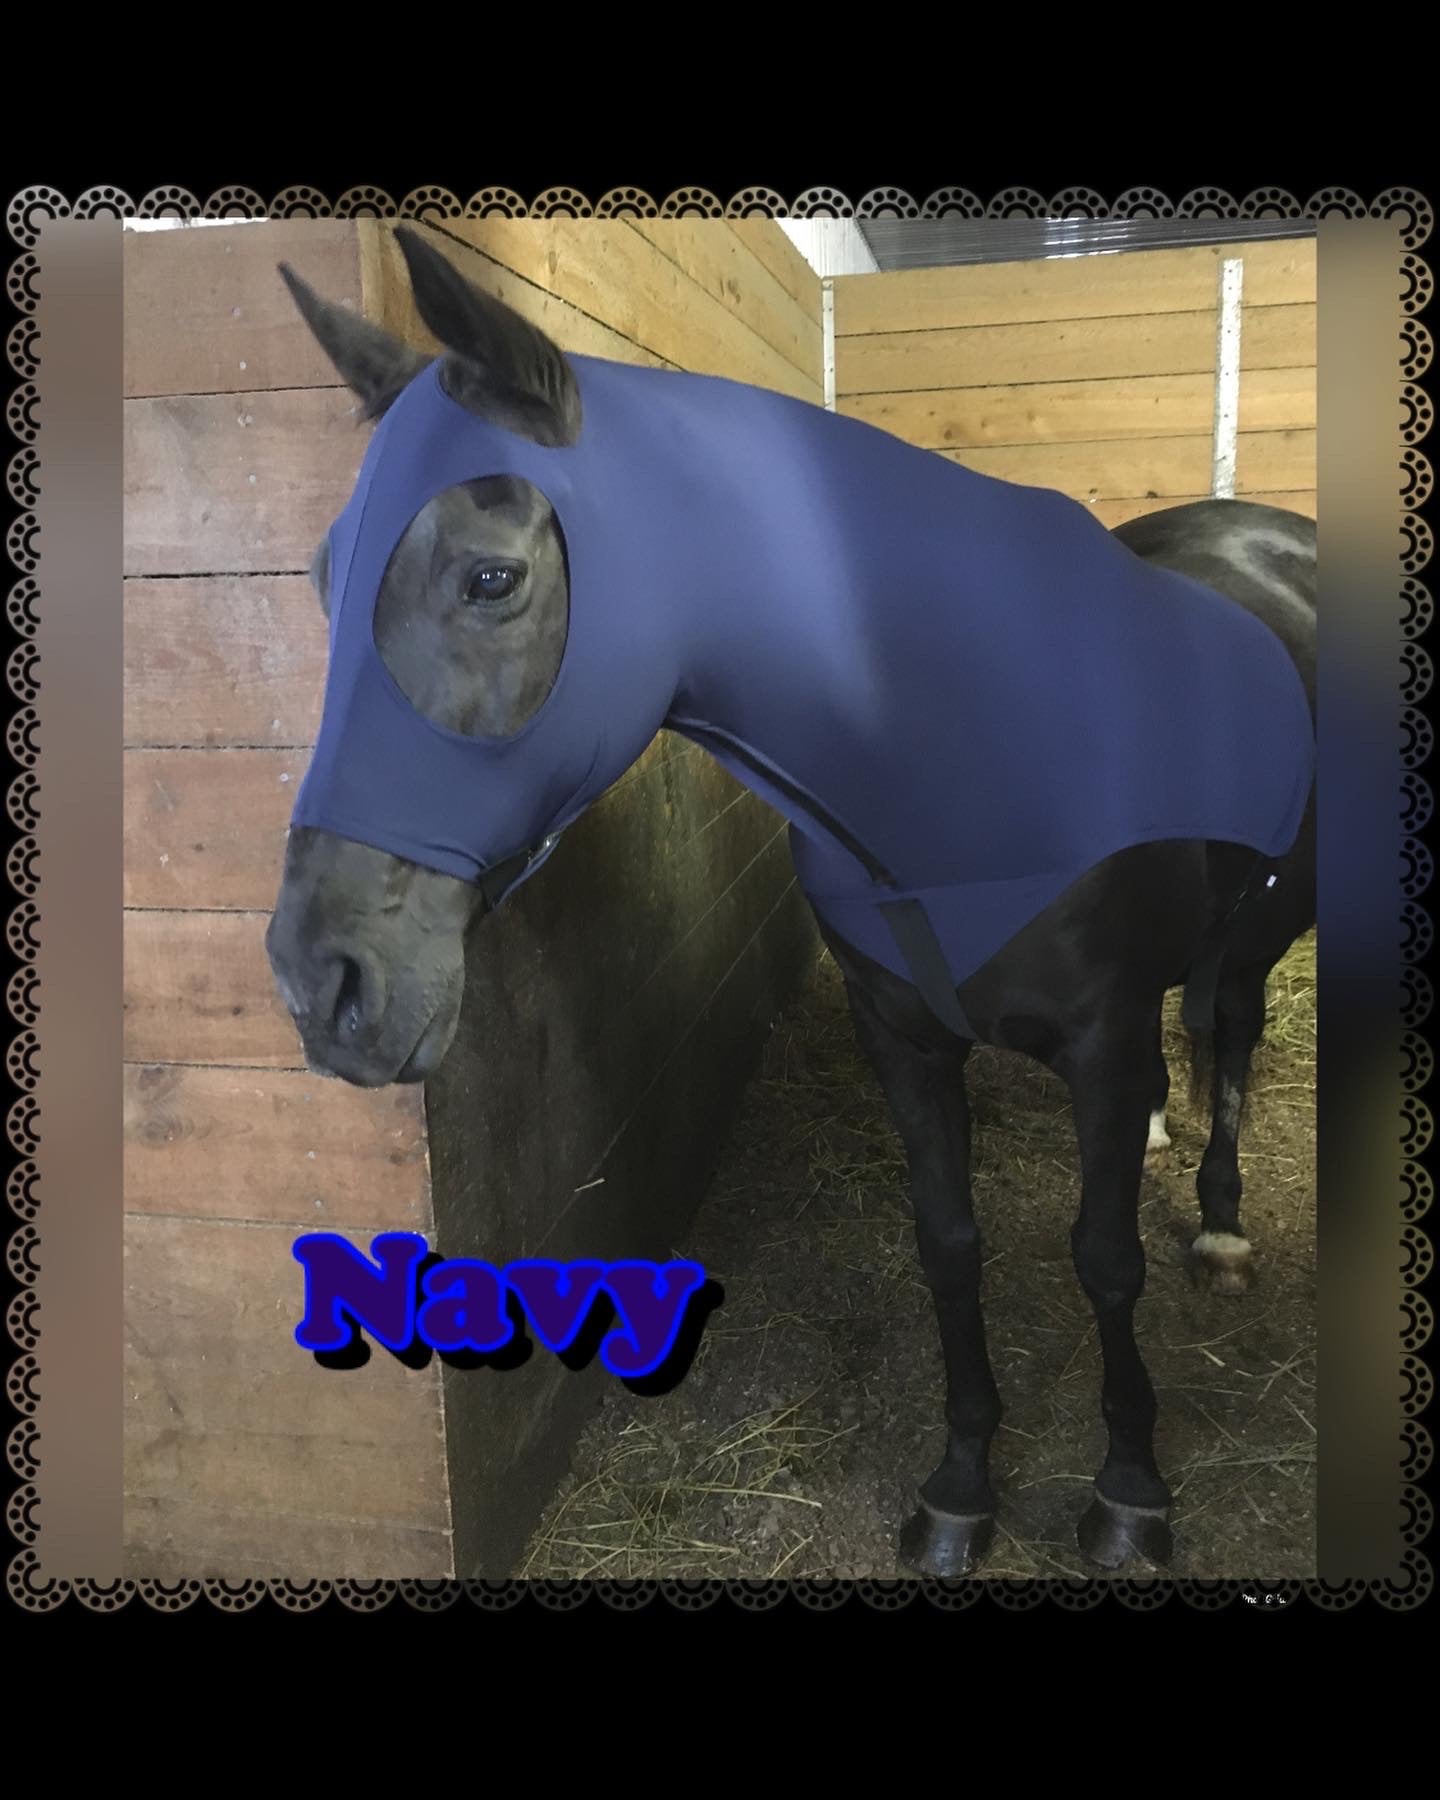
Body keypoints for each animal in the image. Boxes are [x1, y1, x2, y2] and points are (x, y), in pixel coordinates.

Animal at [265, 225, 1317, 1576]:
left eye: (490, 579)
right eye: (321, 579)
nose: (319, 983)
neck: (957, 756)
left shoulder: (1098, 1033)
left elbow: (1105, 1260)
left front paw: (1130, 1491)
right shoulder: (903, 1039)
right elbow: (949, 1248)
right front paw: (960, 1486)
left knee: (1232, 1029)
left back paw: (1224, 1228)